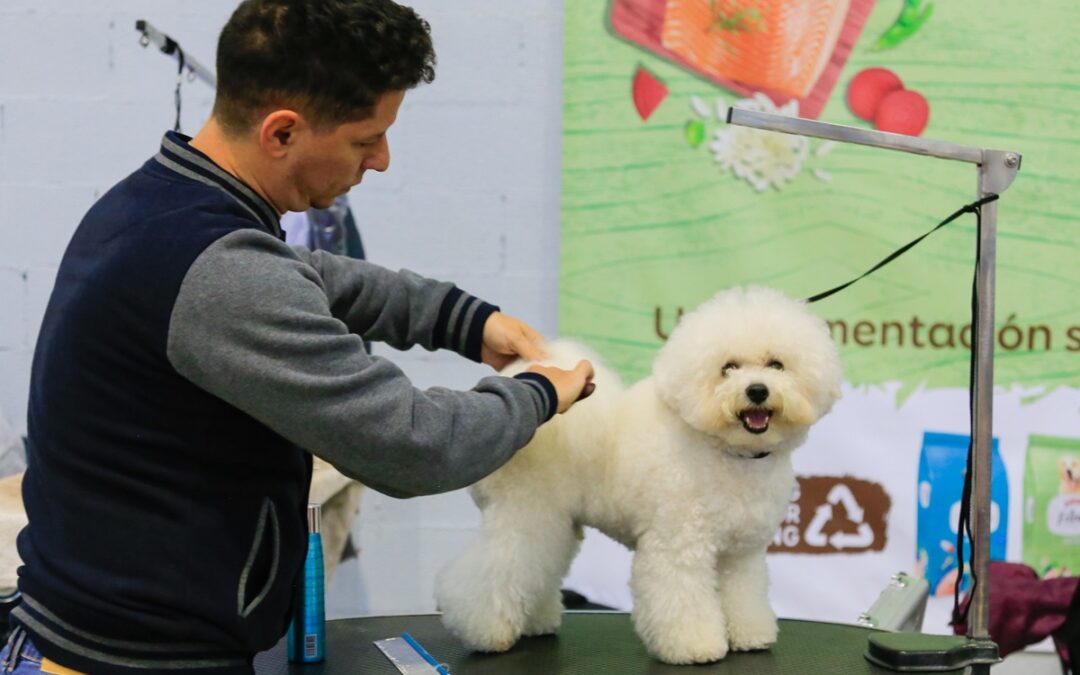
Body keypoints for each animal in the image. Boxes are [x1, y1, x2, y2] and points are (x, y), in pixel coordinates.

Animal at [434, 285, 838, 665]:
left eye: (776, 365)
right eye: (728, 368)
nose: (756, 391)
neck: (724, 450)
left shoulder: (742, 553)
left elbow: (744, 594)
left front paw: (750, 634)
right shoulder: (678, 545)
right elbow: (682, 598)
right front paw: (694, 646)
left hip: (555, 523)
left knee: (537, 571)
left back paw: (535, 623)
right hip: (526, 516)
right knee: (494, 571)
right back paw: (486, 632)